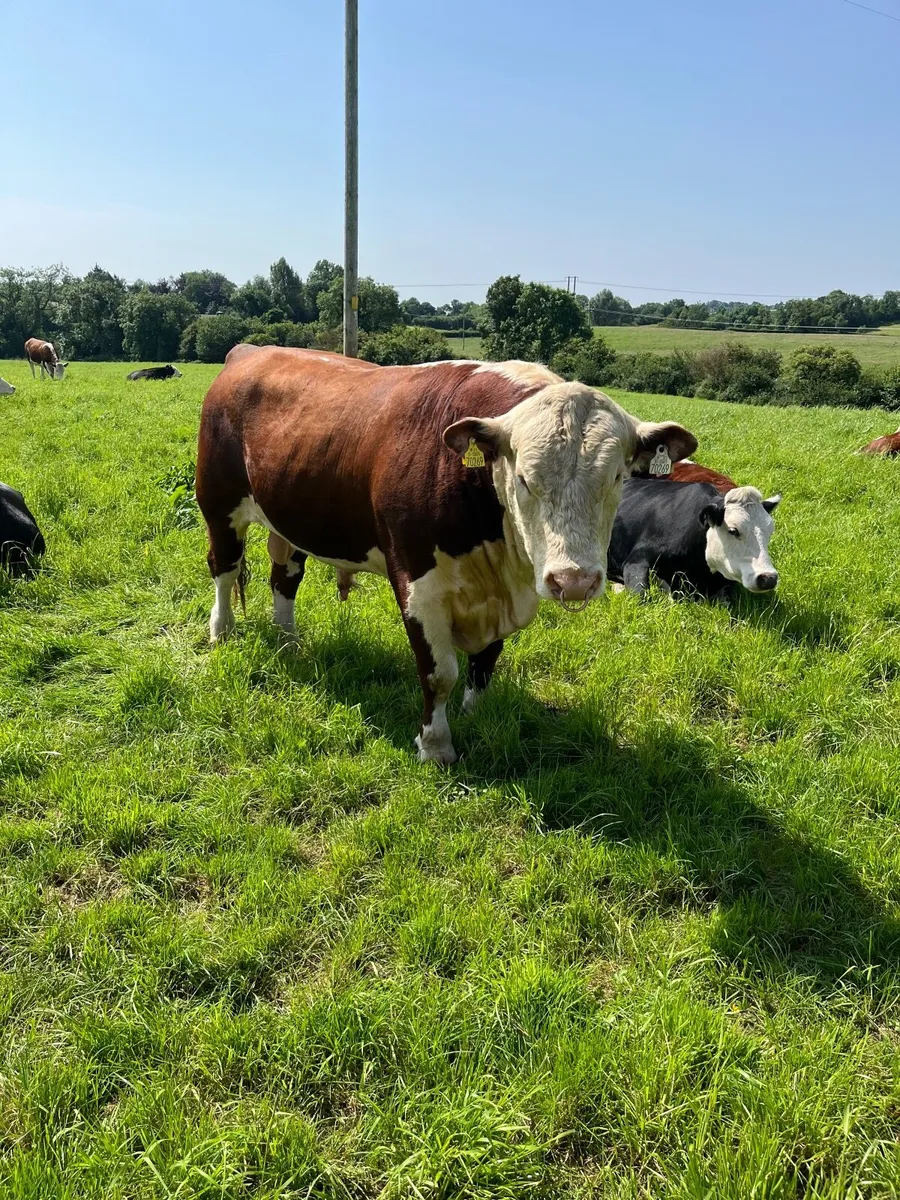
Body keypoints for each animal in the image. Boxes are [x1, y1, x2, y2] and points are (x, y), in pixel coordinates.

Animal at [196, 349, 697, 763]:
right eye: (524, 479)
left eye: (617, 477)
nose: (573, 580)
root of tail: (251, 350)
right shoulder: (417, 588)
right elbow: (440, 674)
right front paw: (436, 745)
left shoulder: (503, 594)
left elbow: (485, 665)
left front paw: (479, 716)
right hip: (219, 505)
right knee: (224, 570)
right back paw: (223, 632)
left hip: (292, 516)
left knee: (285, 577)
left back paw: (288, 640)